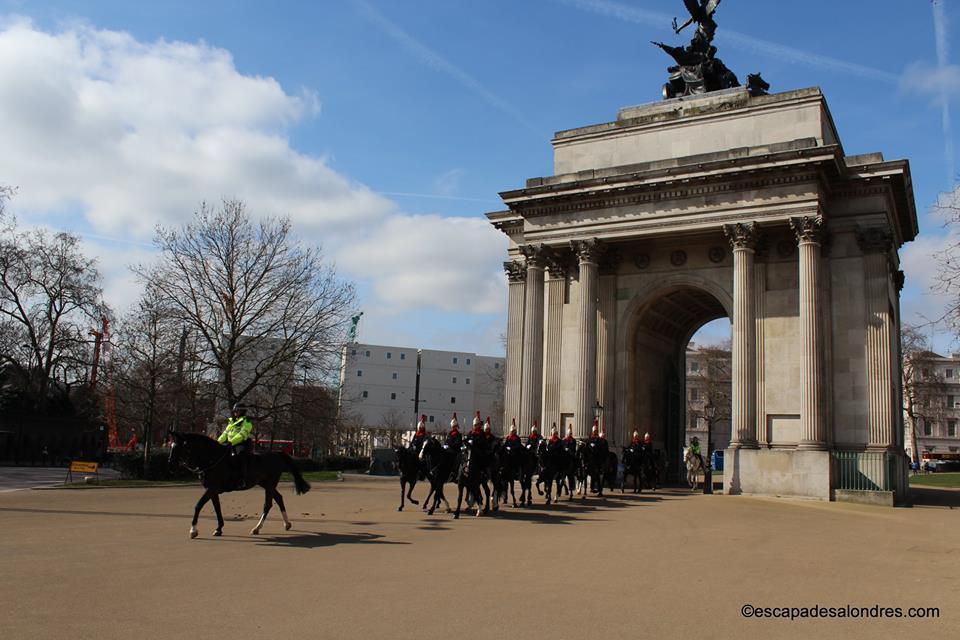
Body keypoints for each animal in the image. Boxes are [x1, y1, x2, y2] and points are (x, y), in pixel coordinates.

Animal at [169, 430, 310, 540]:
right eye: (171, 446)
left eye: (179, 447)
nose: (171, 465)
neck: (212, 459)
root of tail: (276, 453)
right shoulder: (213, 490)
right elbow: (217, 508)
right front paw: (219, 528)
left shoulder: (211, 488)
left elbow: (198, 505)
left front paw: (193, 530)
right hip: (266, 484)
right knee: (279, 498)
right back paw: (286, 524)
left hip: (270, 485)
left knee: (268, 504)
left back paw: (257, 528)